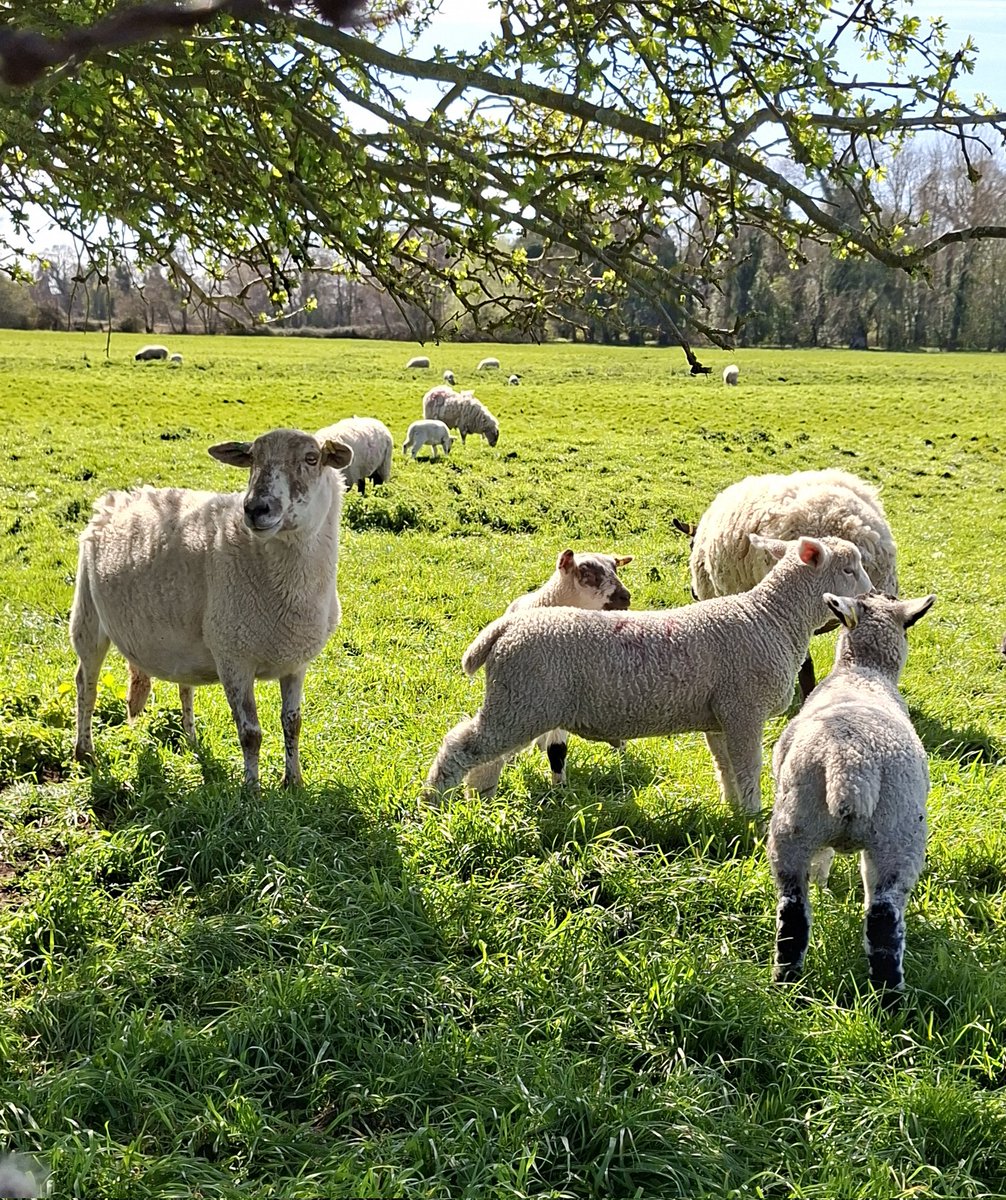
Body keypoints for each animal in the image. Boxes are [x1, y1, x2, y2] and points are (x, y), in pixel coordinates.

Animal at [70, 427, 353, 790]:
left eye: (311, 458)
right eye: (252, 458)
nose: (255, 508)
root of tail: (117, 497)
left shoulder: (295, 662)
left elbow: (293, 723)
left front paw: (294, 783)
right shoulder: (233, 658)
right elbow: (250, 734)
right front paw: (251, 791)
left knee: (183, 686)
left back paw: (191, 739)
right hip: (87, 614)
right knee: (86, 684)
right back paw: (84, 752)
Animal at [769, 589, 935, 997]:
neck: (862, 672)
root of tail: (850, 766)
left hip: (799, 828)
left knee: (797, 913)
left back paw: (788, 985)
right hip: (898, 836)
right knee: (881, 919)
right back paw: (890, 999)